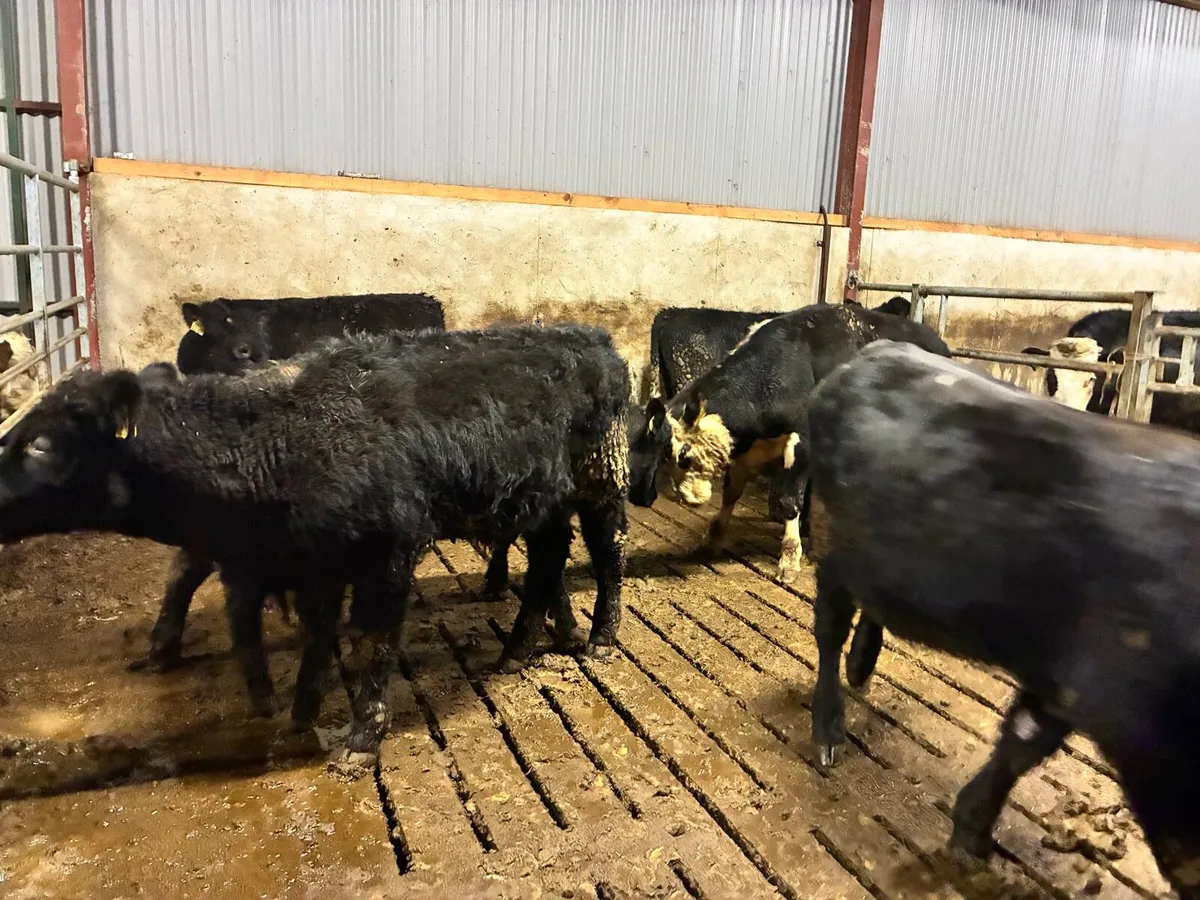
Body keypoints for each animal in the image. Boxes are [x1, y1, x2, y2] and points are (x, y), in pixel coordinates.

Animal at [0, 324, 630, 758]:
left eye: (40, 443)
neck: (284, 436)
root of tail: (589, 337)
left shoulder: (387, 553)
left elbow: (373, 640)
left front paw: (361, 736)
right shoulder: (315, 562)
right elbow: (316, 634)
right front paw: (301, 713)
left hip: (602, 477)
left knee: (607, 552)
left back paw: (600, 634)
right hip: (546, 501)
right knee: (549, 561)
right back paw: (519, 649)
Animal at [628, 303, 950, 584]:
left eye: (684, 455)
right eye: (662, 455)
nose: (687, 497)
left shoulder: (803, 445)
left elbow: (788, 500)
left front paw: (789, 559)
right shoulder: (749, 448)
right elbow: (731, 492)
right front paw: (711, 538)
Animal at [806, 340, 1200, 898]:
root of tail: (878, 350)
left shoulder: (1064, 678)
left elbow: (1022, 741)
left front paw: (972, 826)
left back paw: (861, 665)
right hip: (830, 545)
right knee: (828, 630)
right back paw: (829, 727)